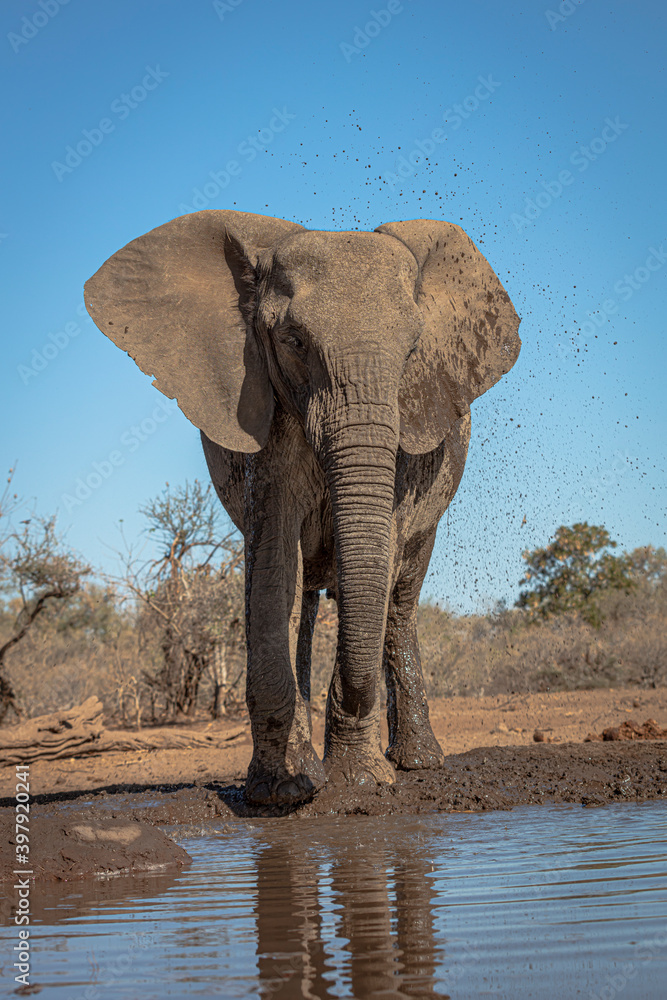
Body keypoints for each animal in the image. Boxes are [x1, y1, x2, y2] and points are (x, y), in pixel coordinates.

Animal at [85, 209, 521, 806]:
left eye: (413, 351)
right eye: (292, 340)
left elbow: (381, 559)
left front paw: (360, 783)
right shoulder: (266, 417)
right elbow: (273, 566)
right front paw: (282, 792)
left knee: (400, 598)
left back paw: (417, 762)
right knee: (303, 600)